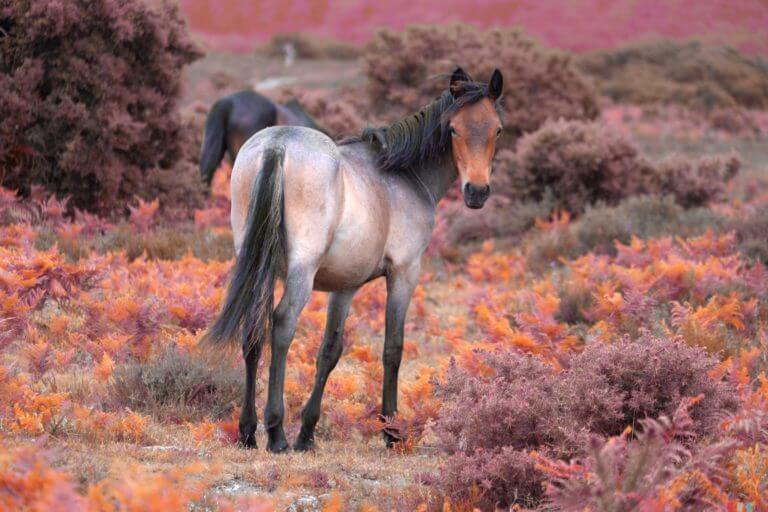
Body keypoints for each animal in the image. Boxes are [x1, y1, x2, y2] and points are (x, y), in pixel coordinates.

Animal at [204, 67, 504, 452]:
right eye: (453, 129)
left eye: (497, 129)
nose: (477, 192)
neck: (403, 175)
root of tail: (278, 144)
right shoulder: (404, 273)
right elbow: (393, 349)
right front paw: (391, 430)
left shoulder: (344, 287)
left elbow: (330, 351)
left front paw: (308, 432)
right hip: (301, 271)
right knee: (282, 325)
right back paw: (276, 432)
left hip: (257, 265)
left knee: (253, 330)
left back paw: (247, 431)